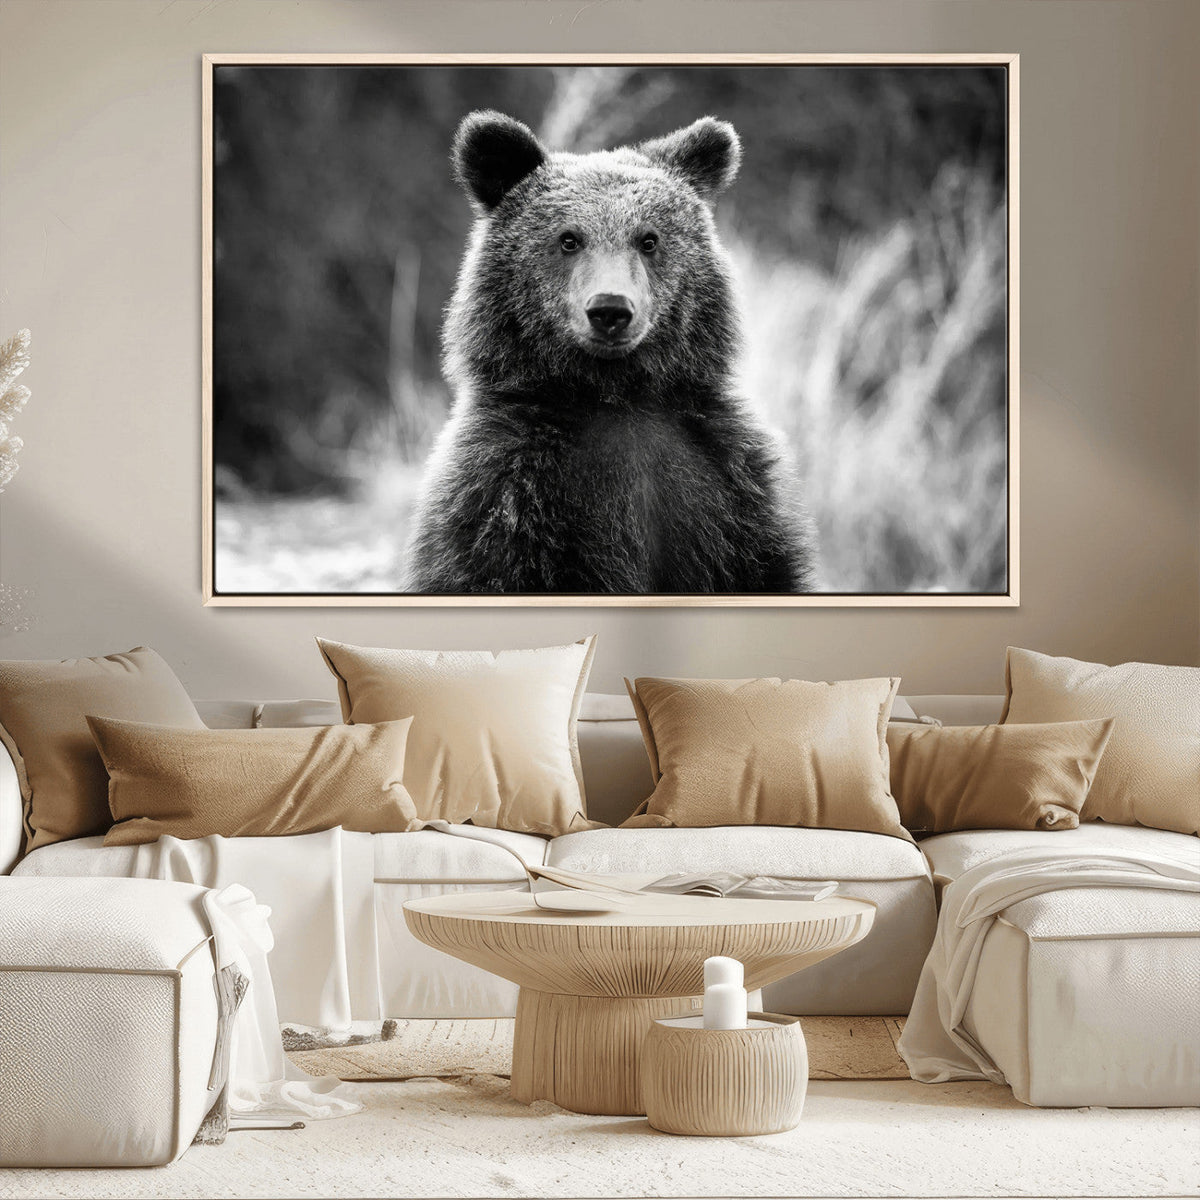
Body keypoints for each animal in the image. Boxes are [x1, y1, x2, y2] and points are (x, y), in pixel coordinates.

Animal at [406, 109, 815, 595]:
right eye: (568, 239)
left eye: (649, 239)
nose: (610, 309)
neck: (615, 394)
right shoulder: (505, 493)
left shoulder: (728, 486)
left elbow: (764, 566)